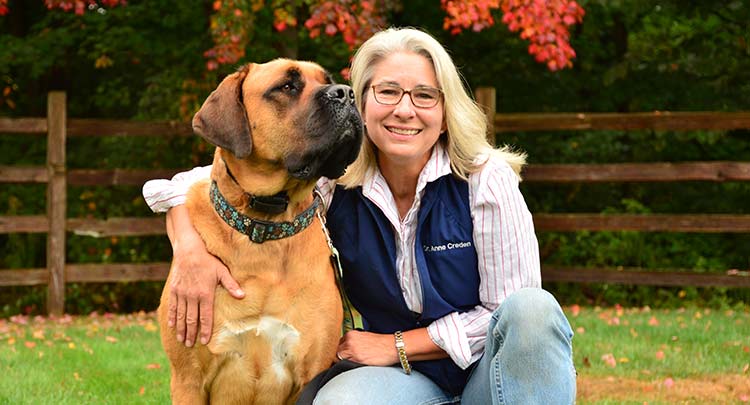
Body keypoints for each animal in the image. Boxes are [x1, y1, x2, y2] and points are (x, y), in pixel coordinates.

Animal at [160, 58, 366, 402]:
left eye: (328, 81)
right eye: (286, 86)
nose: (346, 93)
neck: (265, 225)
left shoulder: (312, 369)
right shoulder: (188, 378)